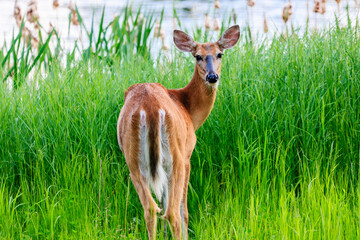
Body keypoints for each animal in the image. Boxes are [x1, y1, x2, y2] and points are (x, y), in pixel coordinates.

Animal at [117, 25, 239, 239]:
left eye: (220, 54)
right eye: (197, 56)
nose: (212, 77)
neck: (188, 108)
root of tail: (150, 108)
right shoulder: (188, 155)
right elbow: (184, 210)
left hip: (134, 161)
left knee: (151, 209)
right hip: (176, 157)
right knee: (173, 212)